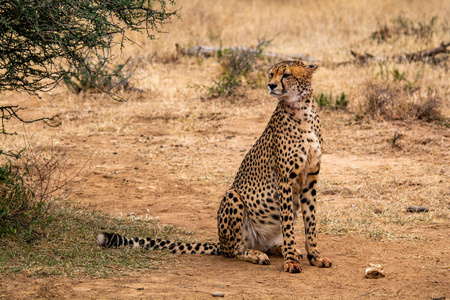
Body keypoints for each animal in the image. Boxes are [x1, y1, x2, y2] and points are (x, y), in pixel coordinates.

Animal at [97, 60, 330, 272]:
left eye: (287, 75)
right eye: (271, 74)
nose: (271, 85)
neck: (302, 110)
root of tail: (221, 242)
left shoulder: (310, 179)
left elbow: (310, 222)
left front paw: (314, 256)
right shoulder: (285, 181)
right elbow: (290, 226)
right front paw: (291, 261)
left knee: (264, 244)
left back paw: (282, 249)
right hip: (233, 196)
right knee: (234, 250)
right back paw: (257, 254)